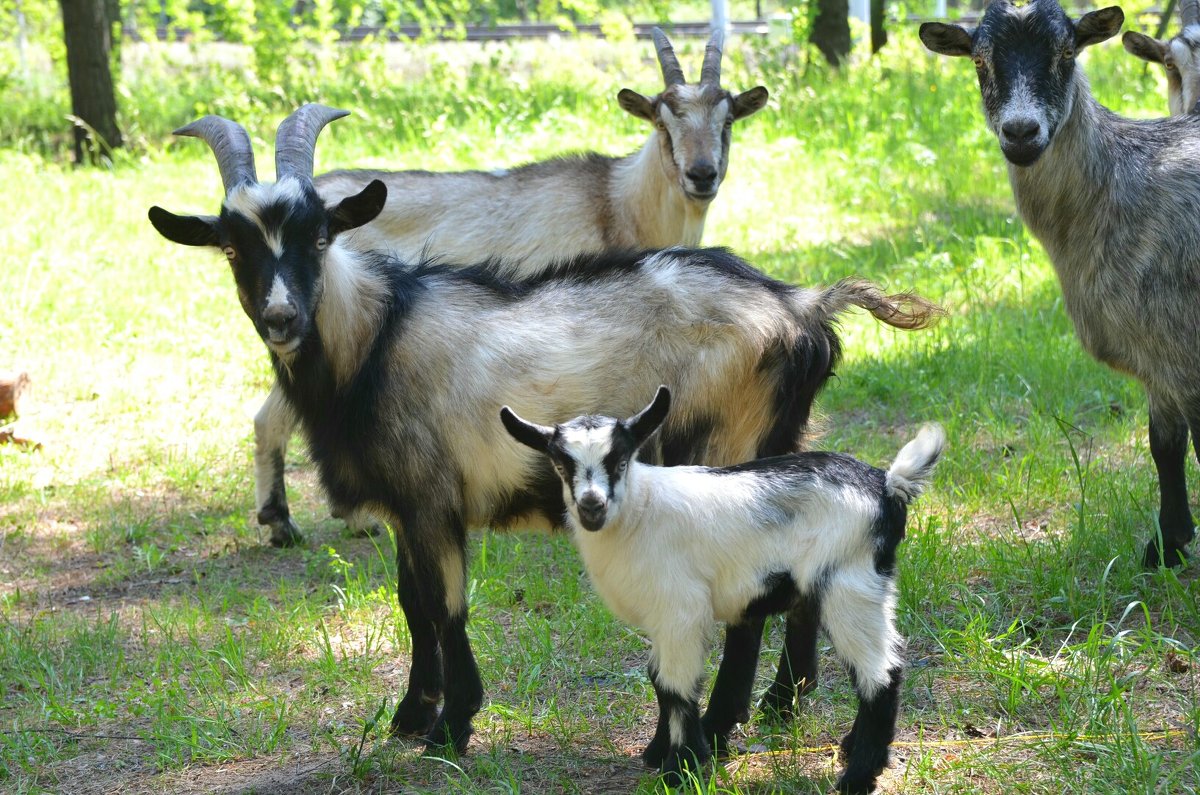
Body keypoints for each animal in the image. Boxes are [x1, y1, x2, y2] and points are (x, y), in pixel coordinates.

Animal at [499, 386, 945, 795]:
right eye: (561, 464)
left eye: (621, 461)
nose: (592, 505)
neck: (640, 513)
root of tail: (887, 485)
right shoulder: (661, 617)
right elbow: (658, 679)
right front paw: (660, 751)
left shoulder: (681, 608)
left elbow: (677, 685)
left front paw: (681, 769)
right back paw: (854, 750)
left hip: (848, 583)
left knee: (880, 673)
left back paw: (857, 777)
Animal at [921, 1, 1200, 574]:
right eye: (979, 60)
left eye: (1067, 51)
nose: (1020, 132)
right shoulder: (1159, 353)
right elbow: (1164, 446)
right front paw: (1167, 547)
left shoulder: (1186, 349)